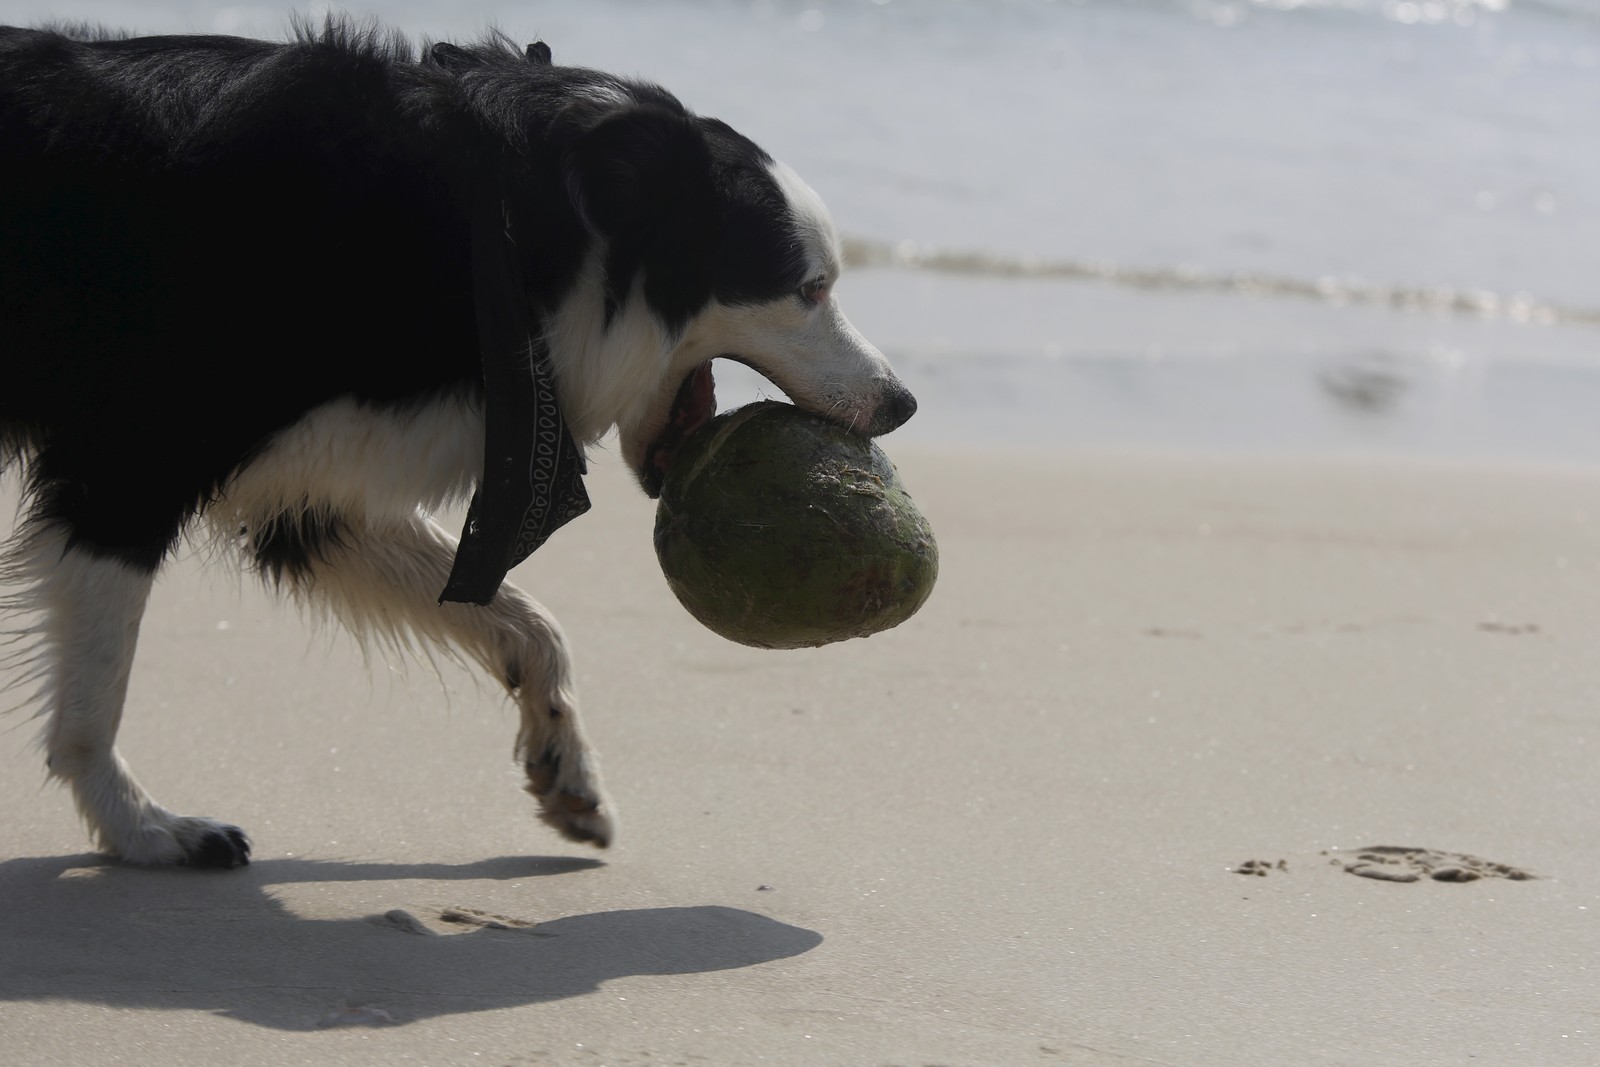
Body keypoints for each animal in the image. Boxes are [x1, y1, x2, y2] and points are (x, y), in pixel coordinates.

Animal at [0, 18, 921, 870]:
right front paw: (139, 829)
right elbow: (97, 694)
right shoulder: (130, 462)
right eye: (809, 288)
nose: (904, 402)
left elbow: (529, 620)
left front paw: (568, 772)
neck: (512, 230)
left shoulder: (314, 489)